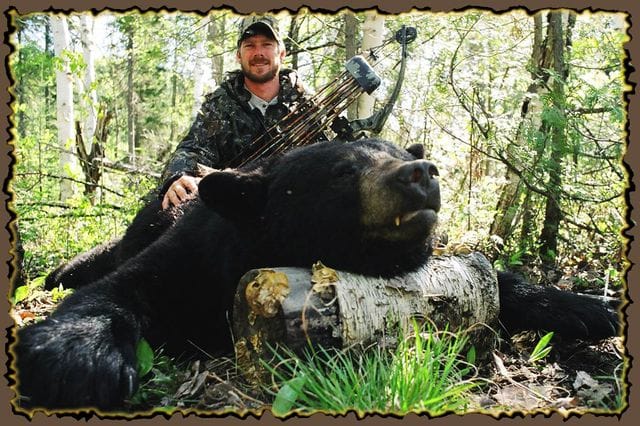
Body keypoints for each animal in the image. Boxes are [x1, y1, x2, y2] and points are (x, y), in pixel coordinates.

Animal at [13, 138, 619, 411]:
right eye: (343, 171)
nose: (422, 171)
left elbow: (499, 279)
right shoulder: (194, 258)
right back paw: (58, 273)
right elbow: (122, 289)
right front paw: (79, 359)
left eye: (396, 148)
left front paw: (589, 307)